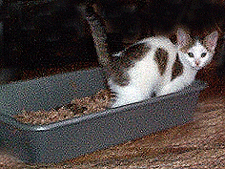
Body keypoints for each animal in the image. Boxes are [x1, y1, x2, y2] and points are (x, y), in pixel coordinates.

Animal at [84, 5, 218, 108]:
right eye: (190, 54)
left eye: (203, 54)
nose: (197, 62)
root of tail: (115, 60)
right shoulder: (167, 88)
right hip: (134, 93)